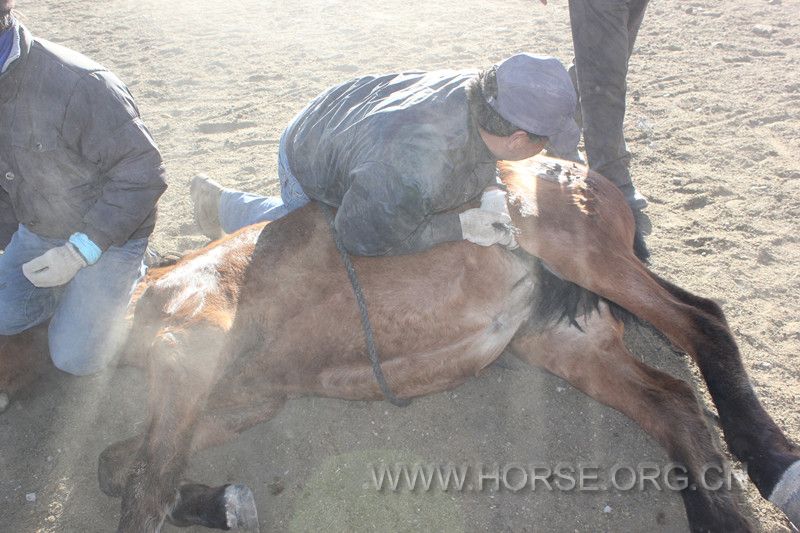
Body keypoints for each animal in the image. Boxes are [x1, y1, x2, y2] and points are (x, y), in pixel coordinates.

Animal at [1, 154, 800, 528]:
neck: (146, 296)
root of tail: (572, 168)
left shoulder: (189, 350)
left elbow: (138, 486)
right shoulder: (242, 398)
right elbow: (121, 466)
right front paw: (223, 502)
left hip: (580, 253)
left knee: (702, 321)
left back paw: (770, 459)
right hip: (560, 341)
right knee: (671, 402)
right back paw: (720, 515)